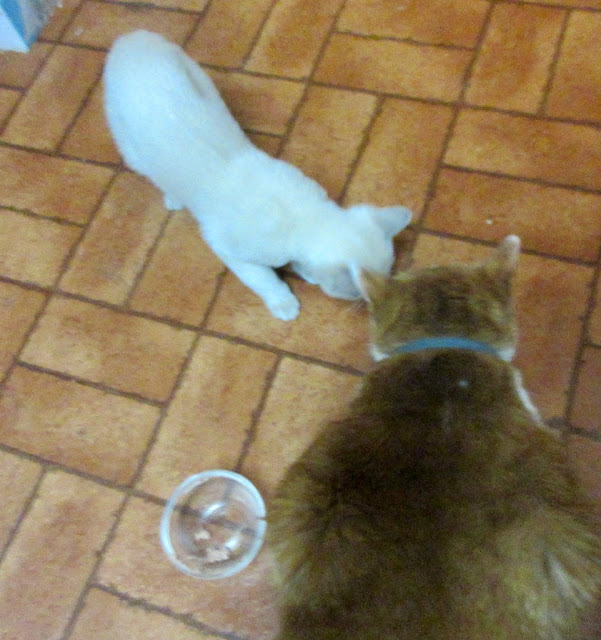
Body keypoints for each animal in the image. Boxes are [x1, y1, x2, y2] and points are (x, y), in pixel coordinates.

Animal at [103, 30, 411, 321]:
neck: (303, 216)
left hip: (197, 75)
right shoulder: (228, 247)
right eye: (359, 293)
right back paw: (173, 198)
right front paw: (284, 302)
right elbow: (263, 279)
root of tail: (131, 38)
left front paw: (304, 272)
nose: (375, 302)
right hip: (131, 148)